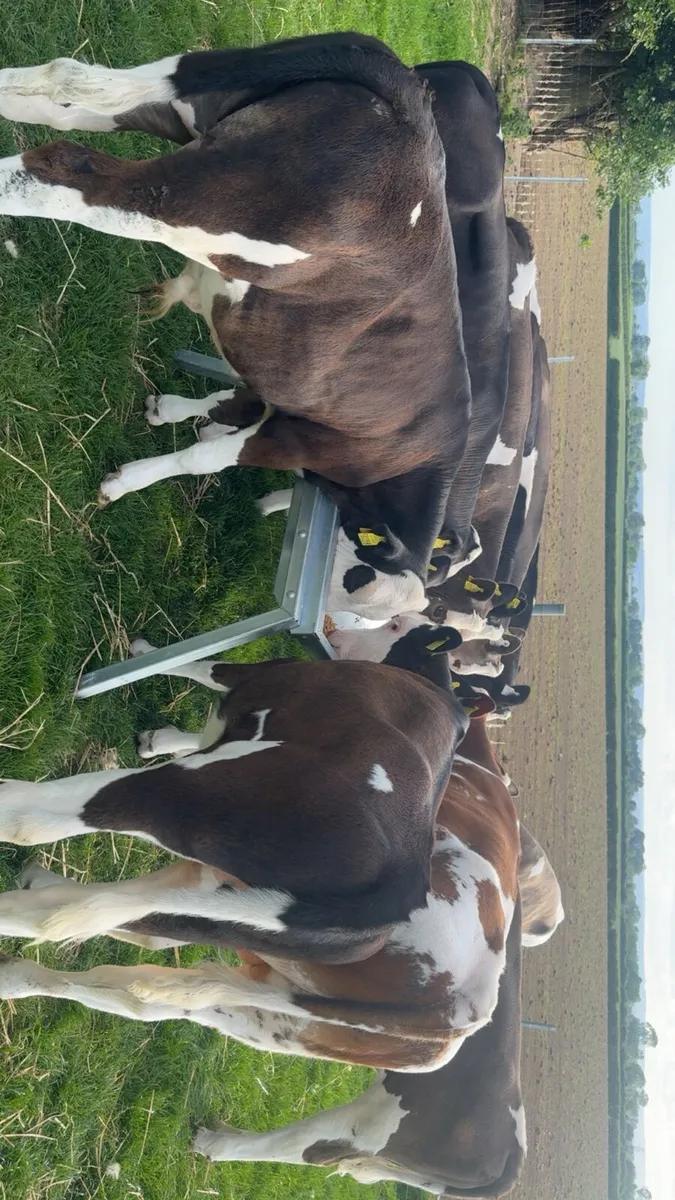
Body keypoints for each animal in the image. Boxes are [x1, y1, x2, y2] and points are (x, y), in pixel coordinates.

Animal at [0, 34, 474, 619]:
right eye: (356, 589)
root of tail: (411, 106)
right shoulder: (297, 440)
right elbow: (205, 457)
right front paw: (127, 481)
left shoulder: (279, 393)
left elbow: (229, 400)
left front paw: (171, 411)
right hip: (201, 210)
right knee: (60, 173)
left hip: (187, 95)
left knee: (60, 90)